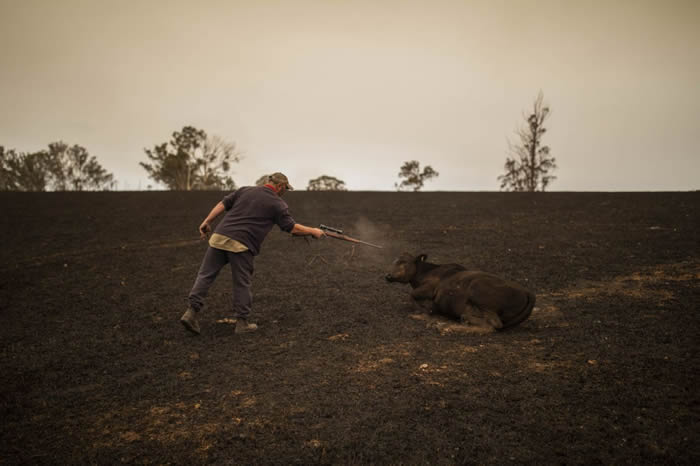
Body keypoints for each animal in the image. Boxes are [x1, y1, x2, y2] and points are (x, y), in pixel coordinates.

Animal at [388, 253, 536, 330]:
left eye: (404, 262)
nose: (388, 275)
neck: (426, 272)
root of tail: (527, 292)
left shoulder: (429, 289)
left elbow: (412, 296)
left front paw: (423, 311)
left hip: (477, 289)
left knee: (494, 324)